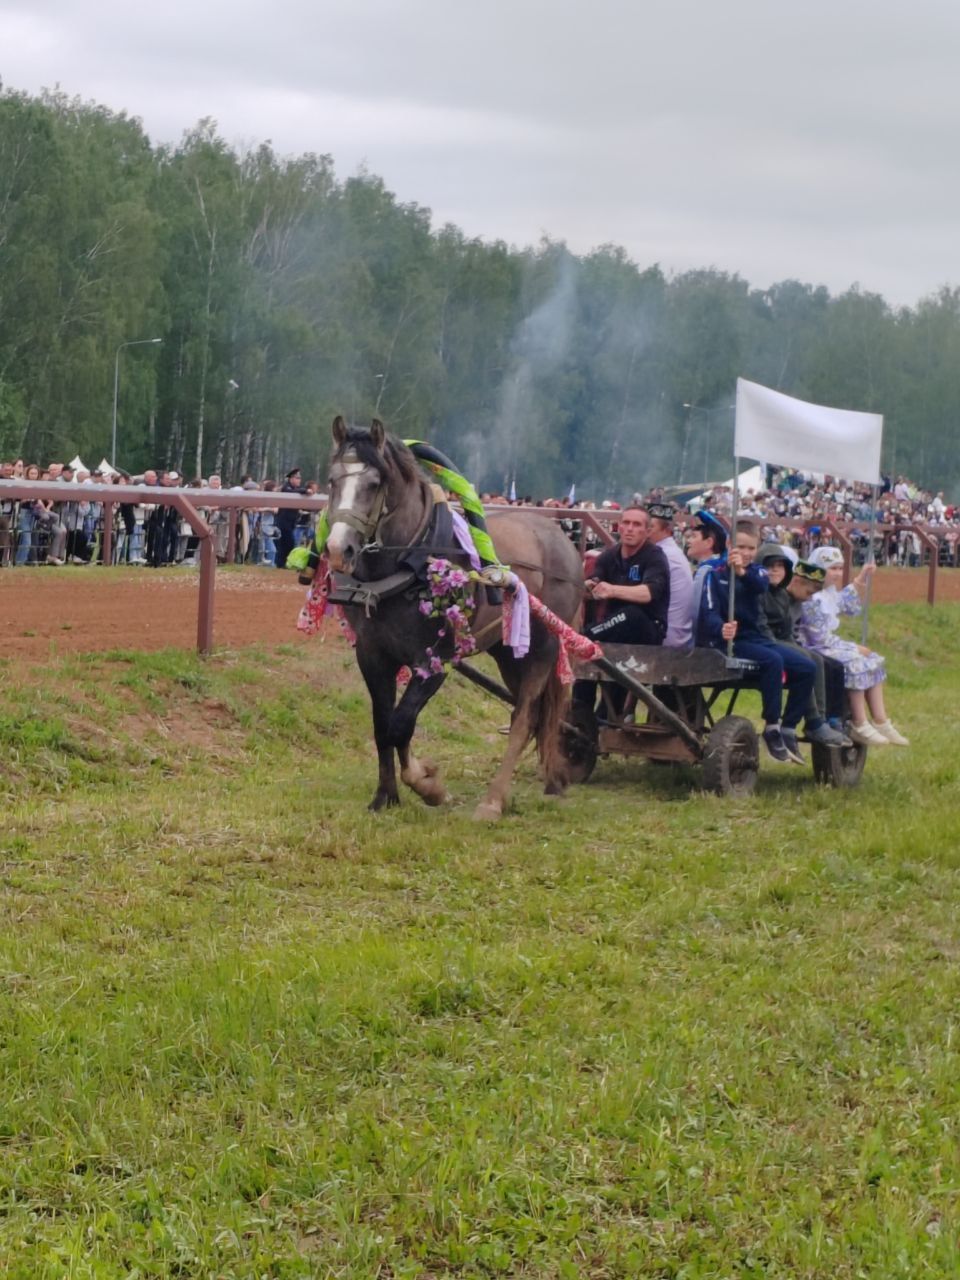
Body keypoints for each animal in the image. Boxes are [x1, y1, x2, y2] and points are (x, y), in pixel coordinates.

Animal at [325, 419, 586, 819]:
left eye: (374, 483)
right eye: (332, 480)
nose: (339, 550)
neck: (412, 561)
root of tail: (563, 540)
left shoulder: (435, 662)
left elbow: (401, 725)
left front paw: (429, 785)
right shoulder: (373, 657)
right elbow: (384, 727)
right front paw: (386, 796)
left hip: (542, 648)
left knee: (525, 719)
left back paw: (493, 801)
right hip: (508, 654)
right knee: (533, 716)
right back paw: (549, 781)